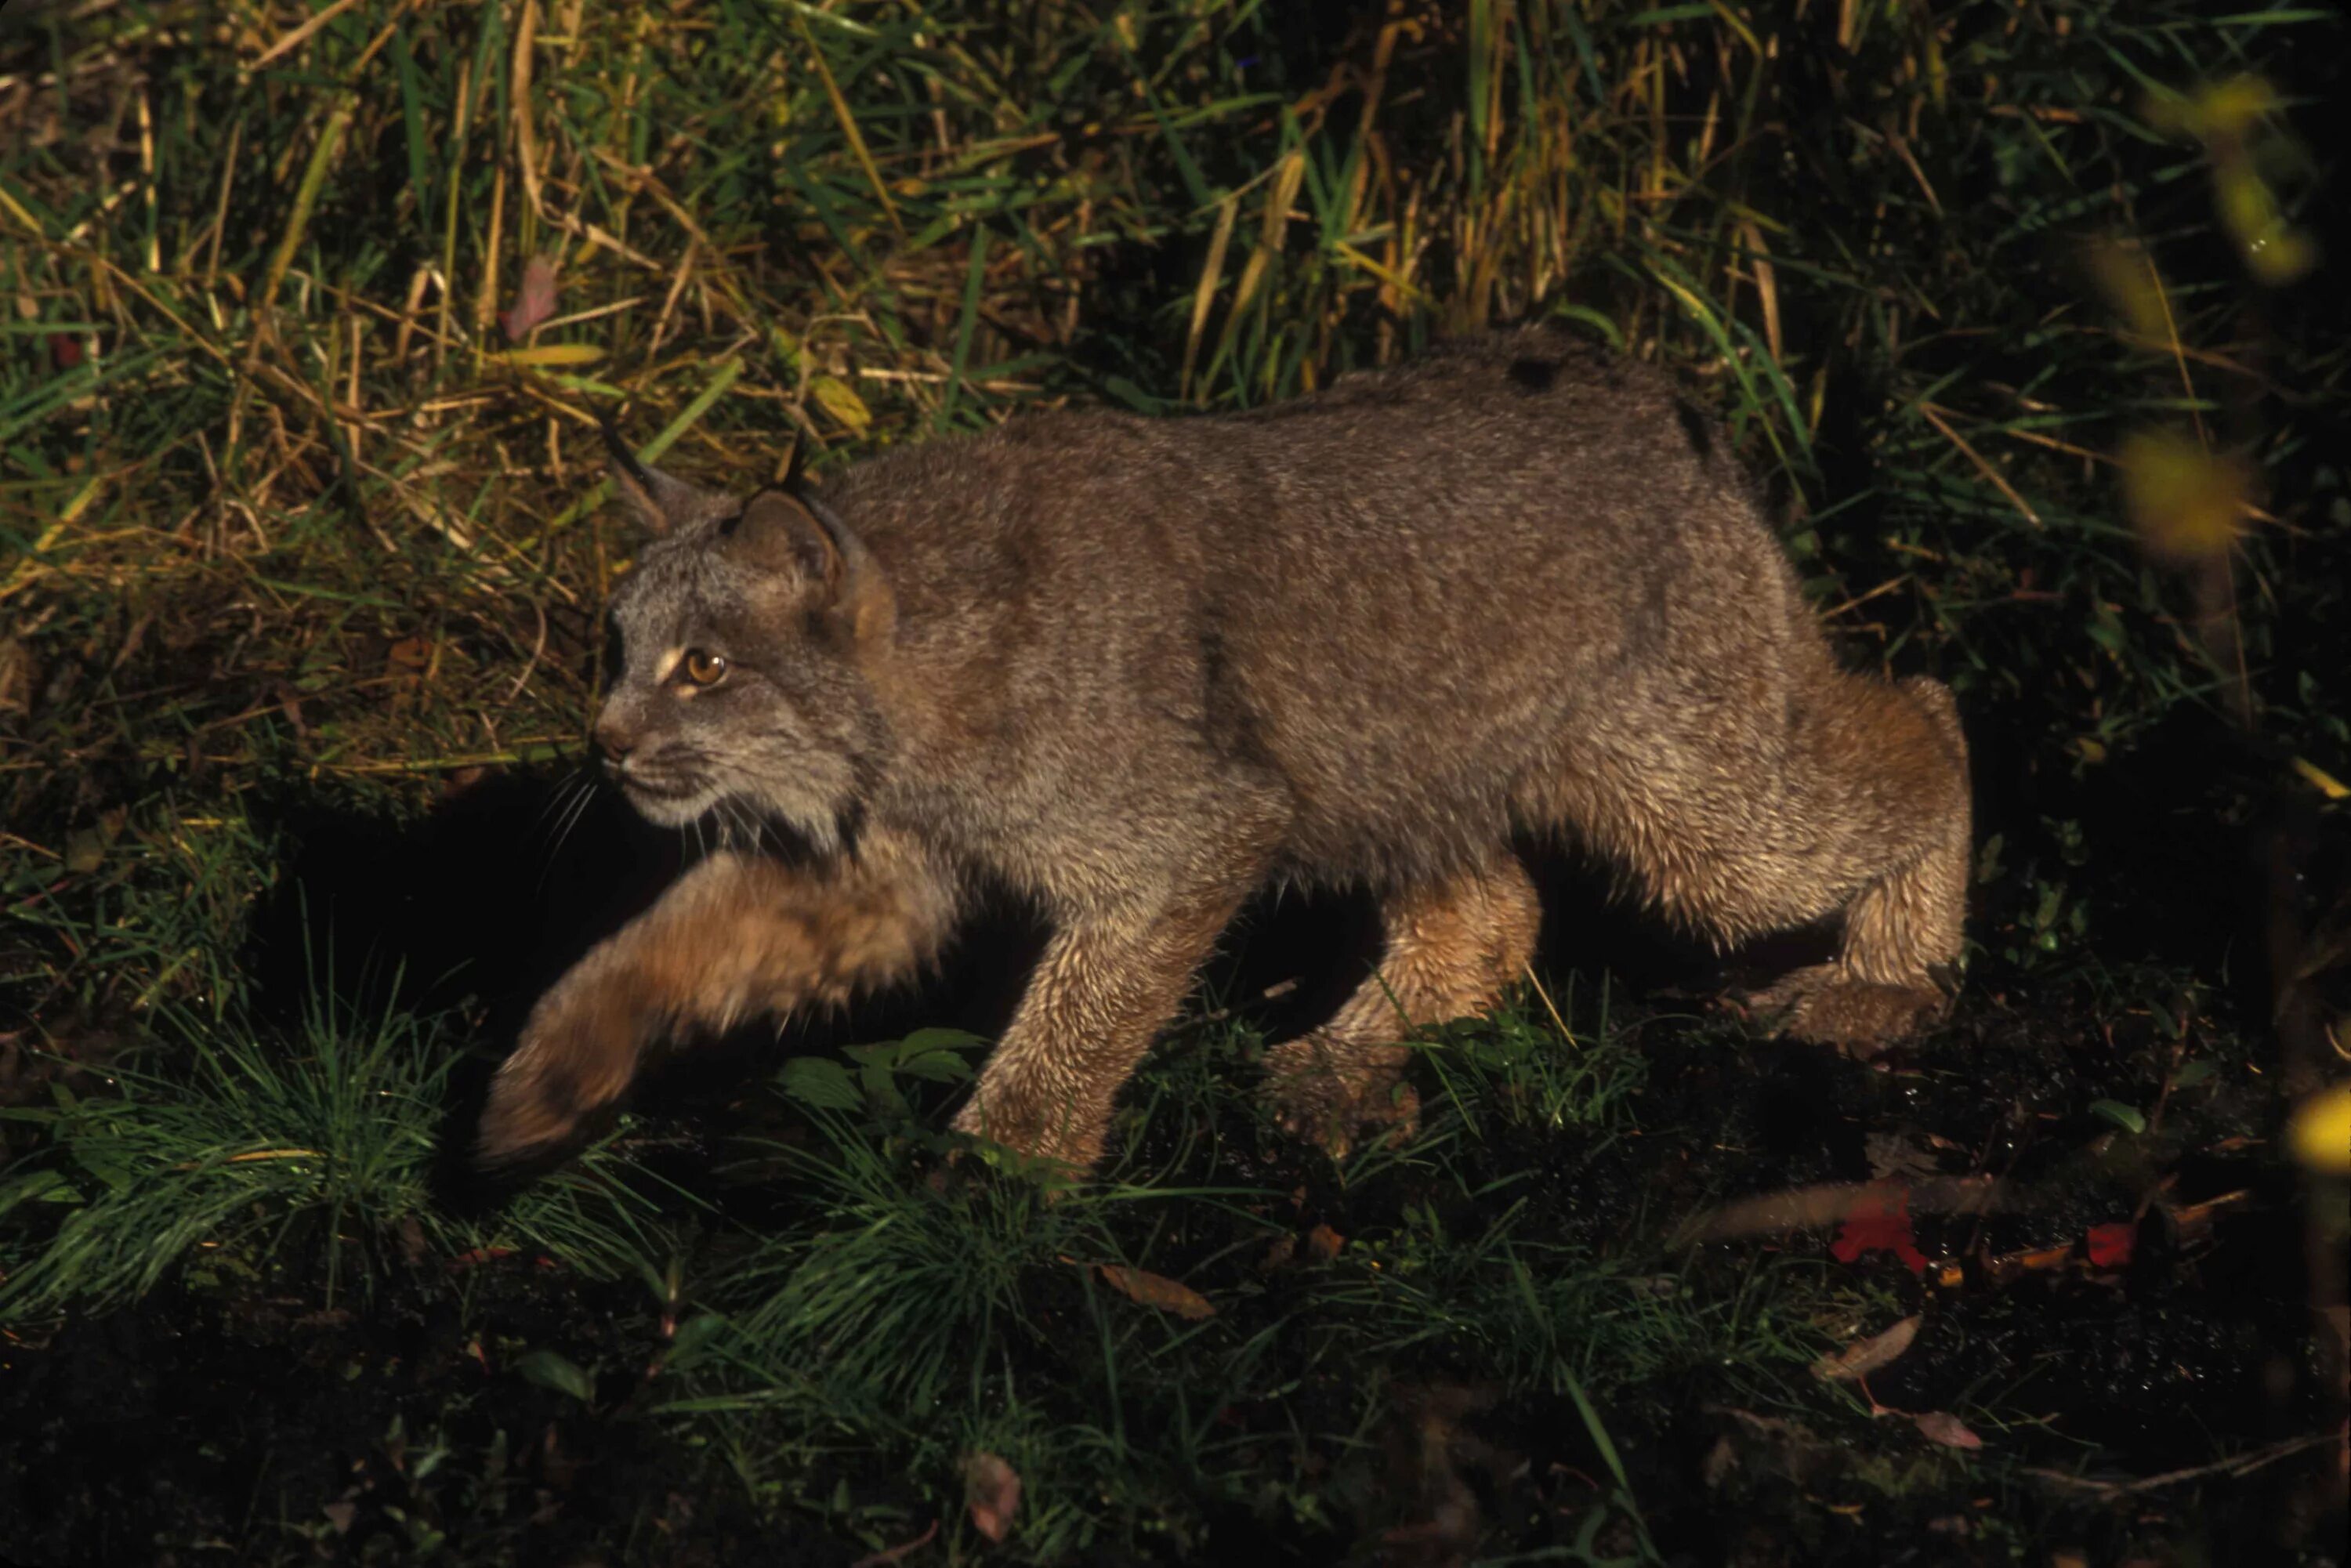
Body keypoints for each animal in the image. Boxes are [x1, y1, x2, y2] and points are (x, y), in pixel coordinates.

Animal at [473, 331, 1965, 1175]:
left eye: (703, 668)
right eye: (616, 646)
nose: (605, 748)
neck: (900, 711)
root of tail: (1652, 380)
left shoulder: (1186, 835)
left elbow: (1080, 1013)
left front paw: (1003, 1174)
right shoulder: (883, 861)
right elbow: (674, 940)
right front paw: (551, 1074)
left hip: (1690, 789)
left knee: (1927, 716)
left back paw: (1890, 980)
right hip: (1401, 755)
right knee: (1496, 903)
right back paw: (1343, 1064)